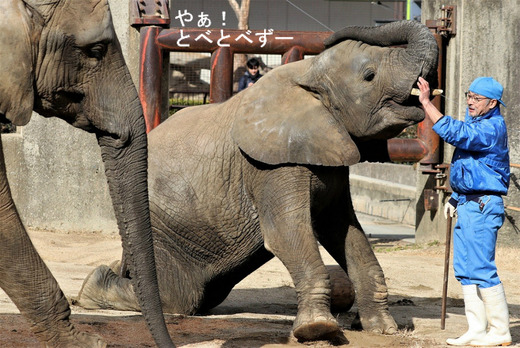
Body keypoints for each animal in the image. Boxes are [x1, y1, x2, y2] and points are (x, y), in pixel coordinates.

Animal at [75, 19, 436, 342]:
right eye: (369, 76)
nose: (331, 33)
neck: (307, 74)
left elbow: (345, 232)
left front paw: (383, 329)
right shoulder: (269, 165)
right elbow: (288, 233)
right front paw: (319, 331)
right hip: (161, 230)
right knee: (178, 295)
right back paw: (91, 287)